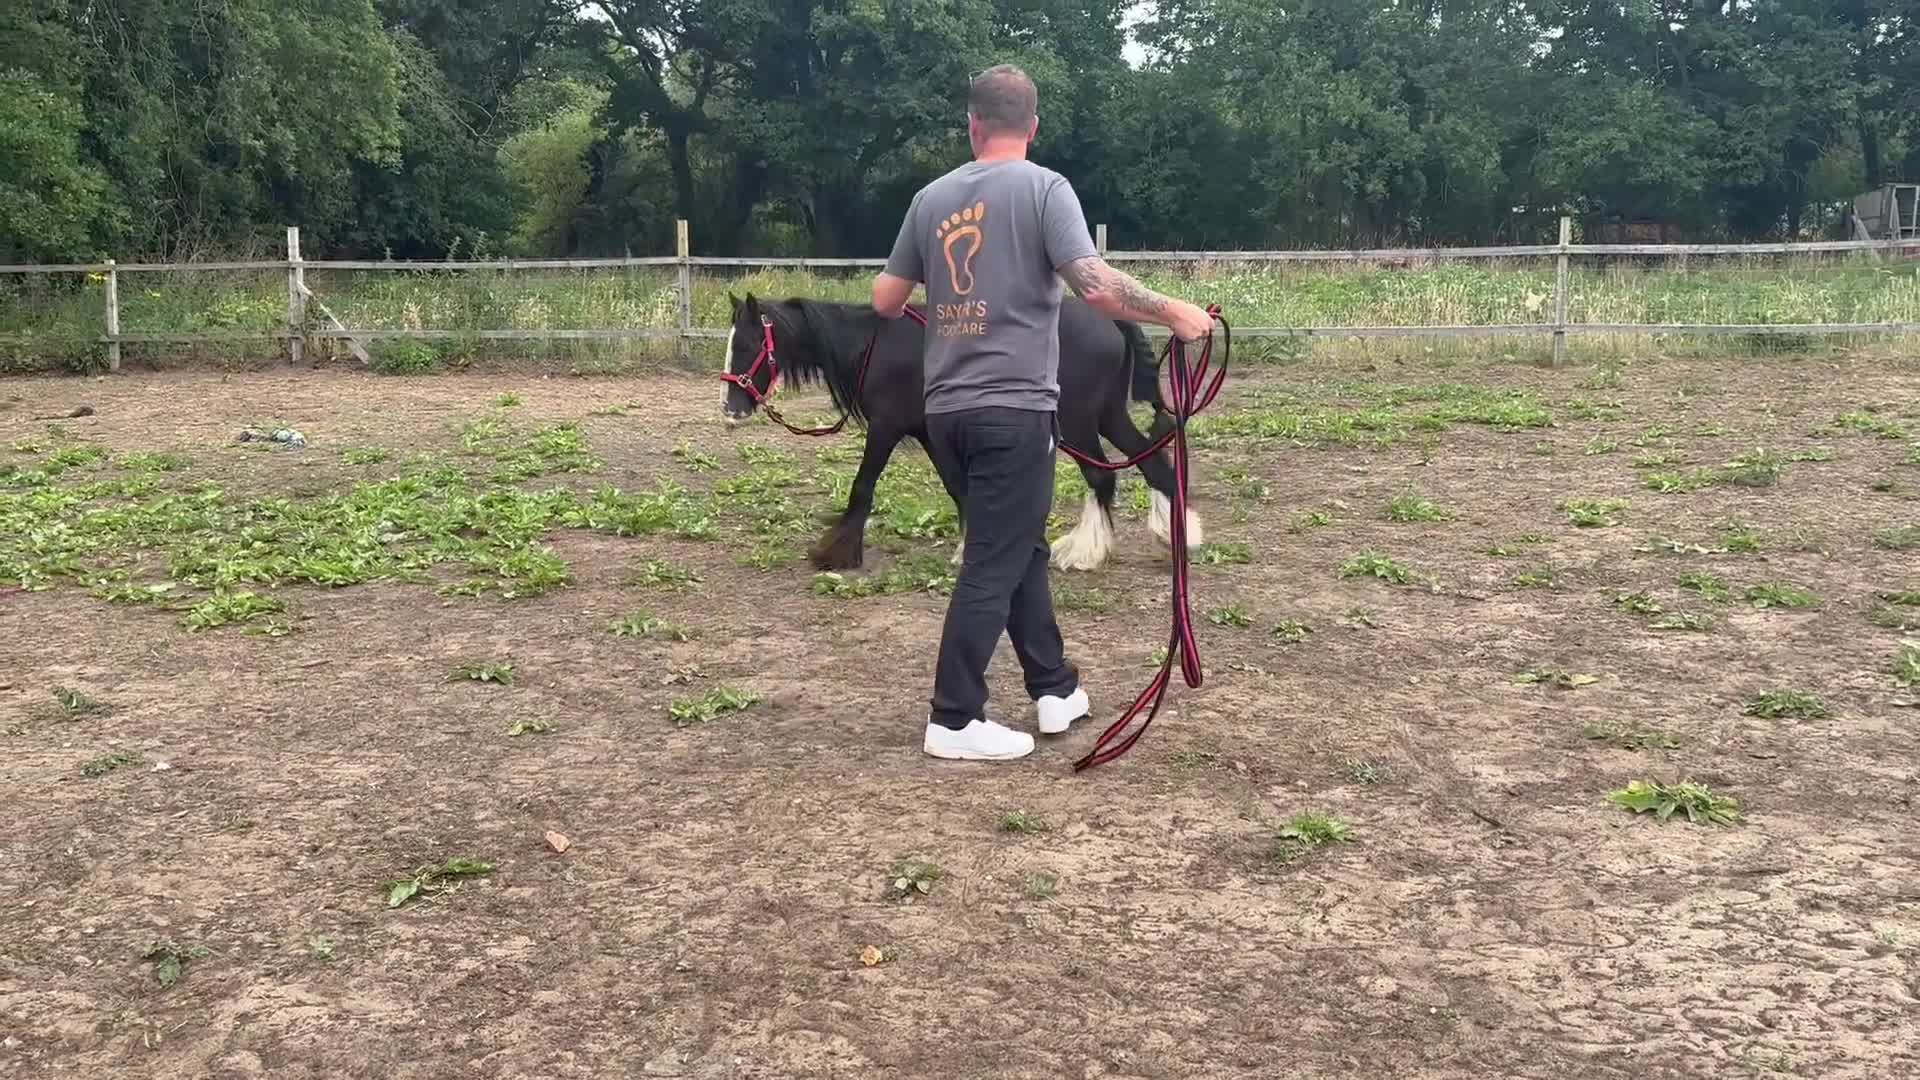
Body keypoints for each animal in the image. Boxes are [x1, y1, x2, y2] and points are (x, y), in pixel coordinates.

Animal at [718, 292, 1205, 572]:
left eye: (744, 344)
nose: (730, 409)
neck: (876, 345)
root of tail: (1109, 321)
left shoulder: (886, 428)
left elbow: (863, 487)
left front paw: (835, 552)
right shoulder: (928, 432)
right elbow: (958, 488)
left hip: (1079, 421)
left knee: (1103, 477)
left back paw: (1084, 552)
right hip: (1107, 416)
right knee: (1153, 463)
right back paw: (1175, 536)